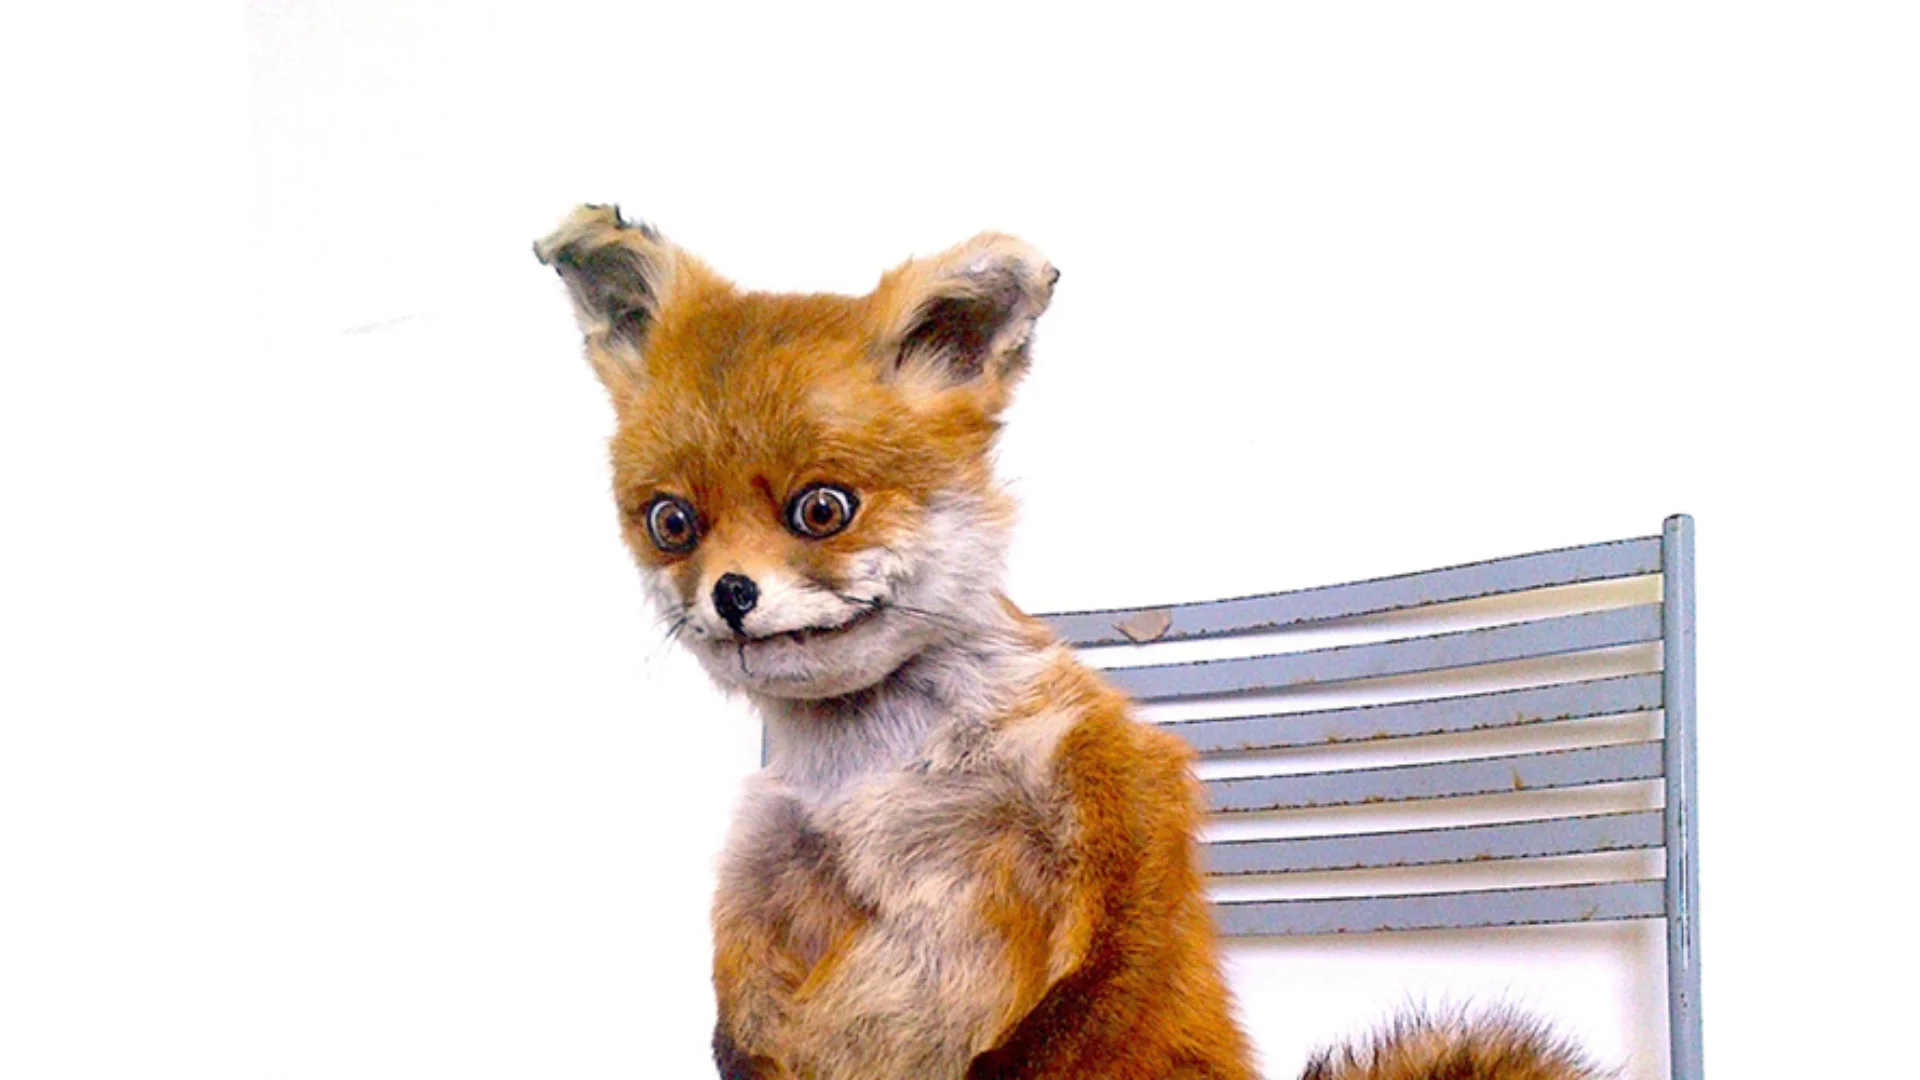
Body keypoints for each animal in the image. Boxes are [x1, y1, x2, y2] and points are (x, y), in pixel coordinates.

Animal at [534, 205, 1605, 1080]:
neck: (878, 777)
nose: (732, 595)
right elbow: (744, 1022)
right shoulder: (764, 885)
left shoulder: (1116, 800)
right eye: (672, 522)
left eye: (821, 509)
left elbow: (1090, 996)